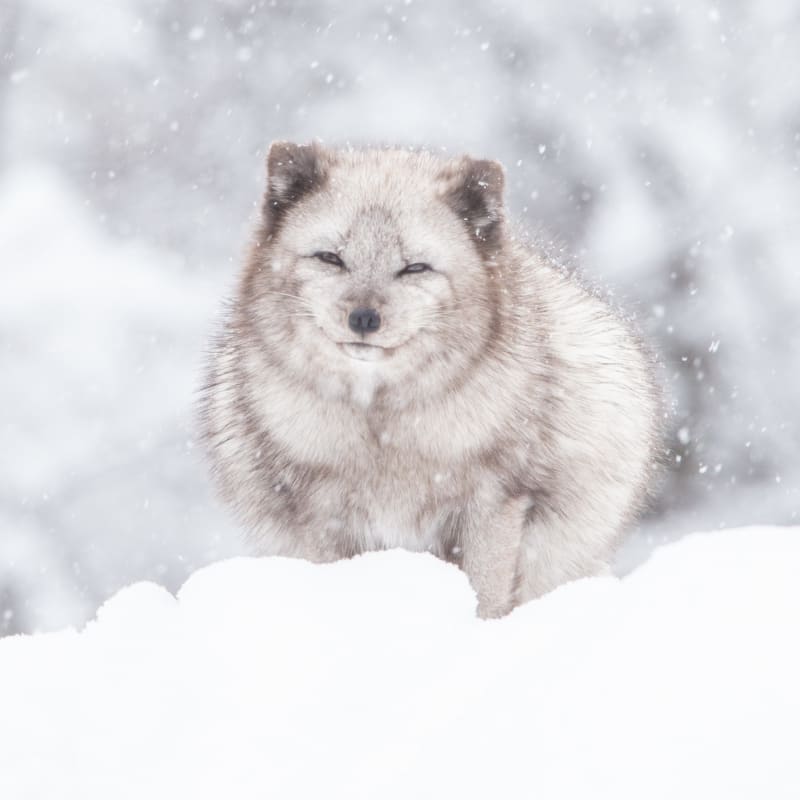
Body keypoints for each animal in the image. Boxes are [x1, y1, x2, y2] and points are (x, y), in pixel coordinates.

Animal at [200, 141, 662, 618]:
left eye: (415, 268)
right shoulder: (320, 512)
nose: (363, 318)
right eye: (330, 258)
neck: (383, 431)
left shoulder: (493, 503)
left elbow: (486, 595)